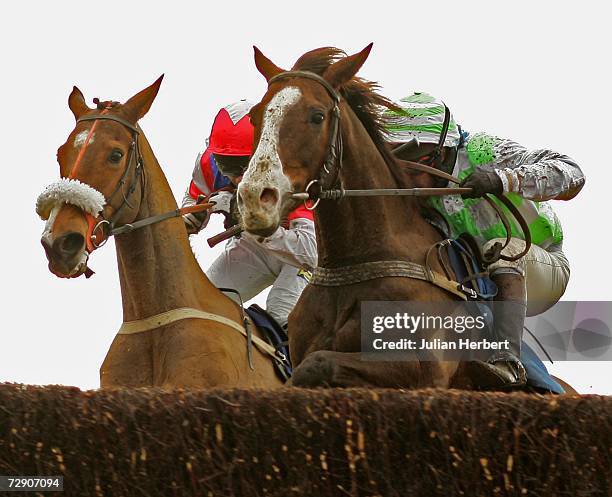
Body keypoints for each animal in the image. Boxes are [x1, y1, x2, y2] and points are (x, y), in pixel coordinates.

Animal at [237, 45, 576, 392]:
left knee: (508, 257)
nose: (254, 197)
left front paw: (488, 180)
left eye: (317, 116)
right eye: (255, 116)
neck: (359, 260)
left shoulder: (422, 372)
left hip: (552, 274)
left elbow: (317, 364)